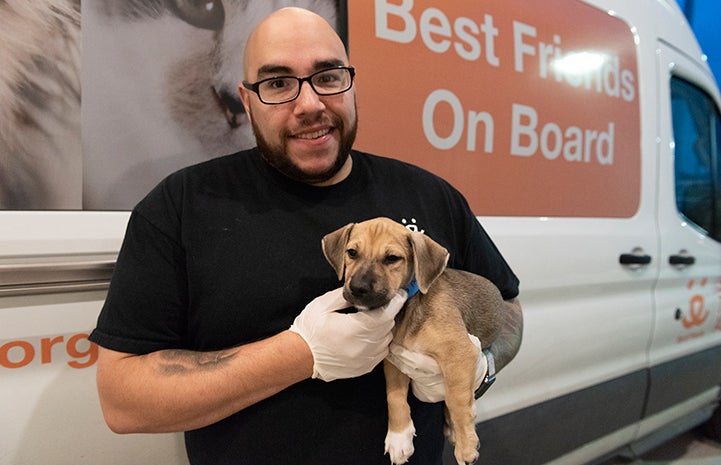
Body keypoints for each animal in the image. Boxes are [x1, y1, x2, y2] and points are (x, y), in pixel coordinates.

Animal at [324, 218, 504, 464]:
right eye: (352, 252)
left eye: (392, 258)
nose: (358, 289)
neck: (408, 310)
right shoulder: (393, 361)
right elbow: (394, 396)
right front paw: (399, 437)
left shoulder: (460, 352)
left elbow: (456, 399)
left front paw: (466, 445)